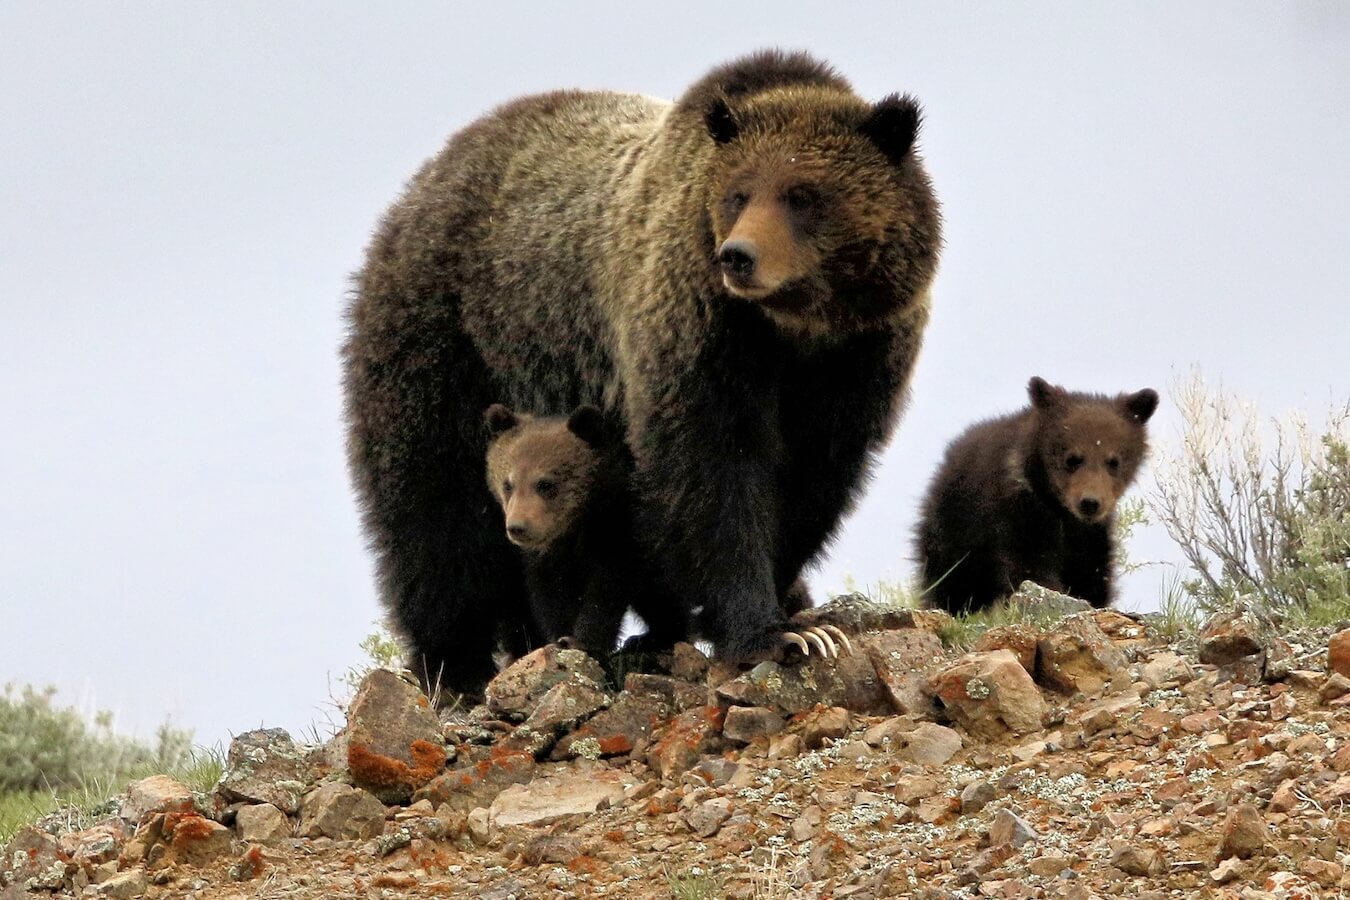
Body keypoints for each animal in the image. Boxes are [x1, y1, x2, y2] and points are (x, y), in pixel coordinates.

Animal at [483, 402, 691, 658]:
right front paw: (559, 637)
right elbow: (550, 596)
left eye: (545, 483)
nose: (517, 527)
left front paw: (582, 640)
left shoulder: (617, 530)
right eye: (508, 484)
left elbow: (606, 589)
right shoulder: (545, 559)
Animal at [915, 376, 1160, 615]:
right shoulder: (1019, 515)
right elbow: (1030, 568)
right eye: (1072, 458)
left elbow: (1091, 574)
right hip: (953, 534)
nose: (1090, 503)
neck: (1059, 511)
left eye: (1113, 461)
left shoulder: (1090, 535)